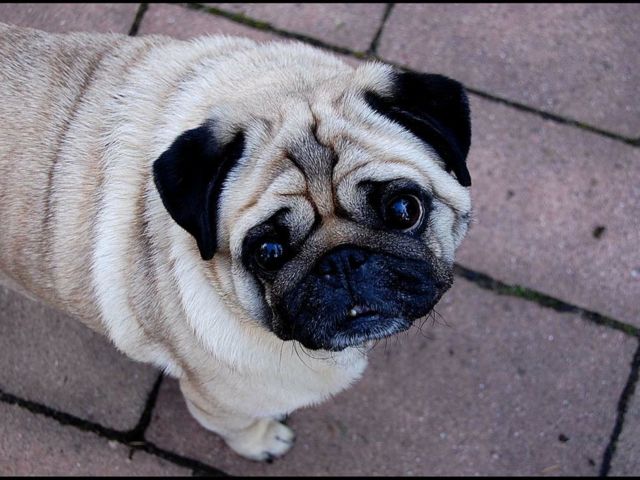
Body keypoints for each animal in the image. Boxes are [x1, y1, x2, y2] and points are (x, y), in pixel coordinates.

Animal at [0, 23, 472, 461]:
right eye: (268, 253)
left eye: (404, 210)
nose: (342, 260)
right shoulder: (223, 403)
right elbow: (243, 428)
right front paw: (262, 442)